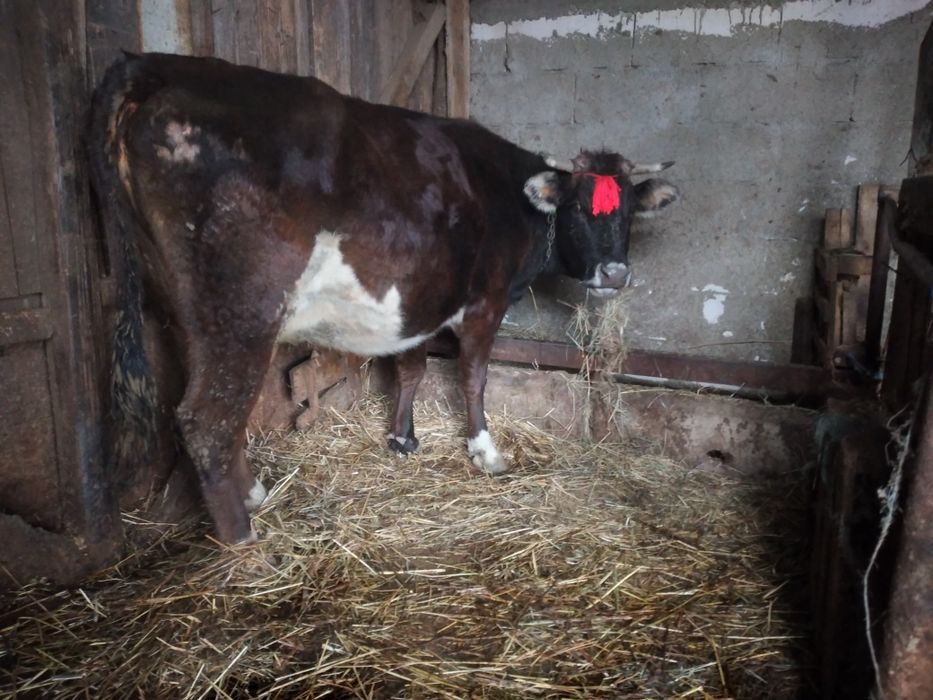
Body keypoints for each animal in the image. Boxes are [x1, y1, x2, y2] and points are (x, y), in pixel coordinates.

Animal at [88, 52, 678, 544]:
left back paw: (253, 495)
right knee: (206, 420)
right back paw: (247, 548)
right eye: (578, 207)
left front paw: (402, 439)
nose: (616, 272)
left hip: (188, 312)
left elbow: (411, 369)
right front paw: (484, 452)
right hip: (243, 310)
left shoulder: (420, 300)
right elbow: (473, 376)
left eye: (628, 210)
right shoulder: (485, 302)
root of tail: (156, 65)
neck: (511, 196)